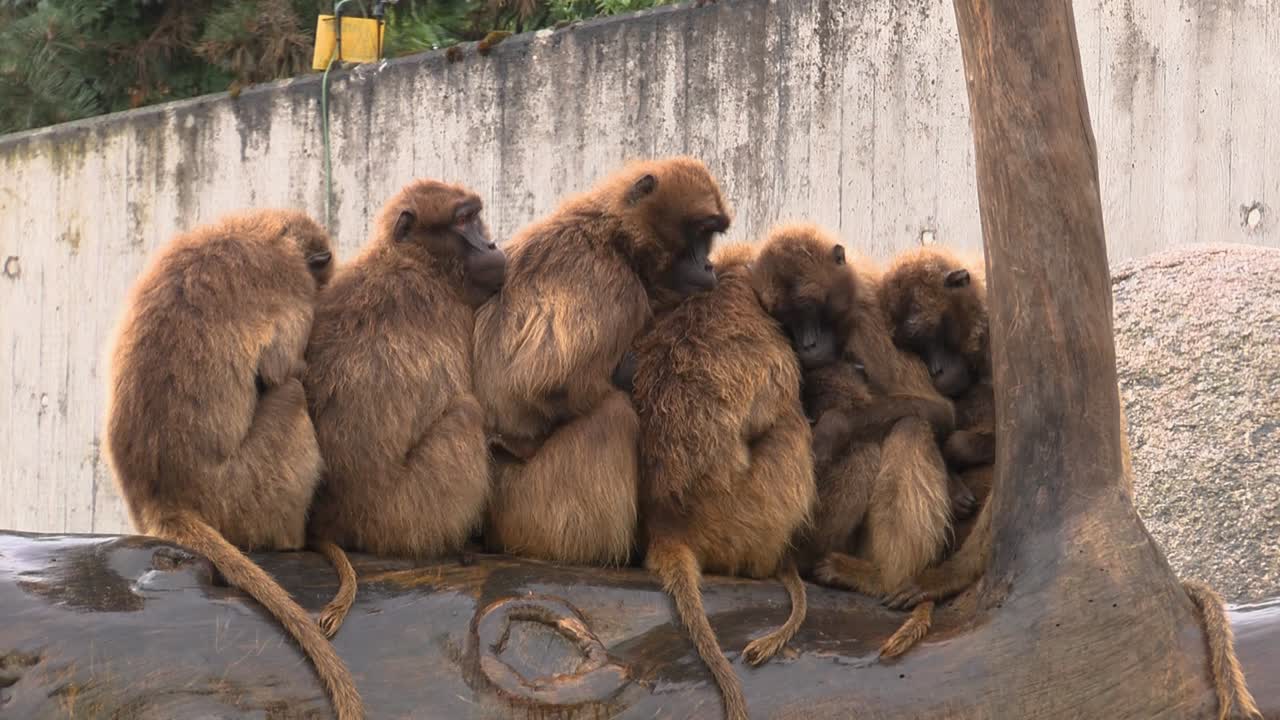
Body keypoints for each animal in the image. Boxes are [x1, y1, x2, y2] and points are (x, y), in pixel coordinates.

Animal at [102, 209, 363, 720]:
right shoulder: (291, 287)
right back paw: (293, 539)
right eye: (319, 277)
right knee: (289, 394)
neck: (262, 230)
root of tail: (159, 497)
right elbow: (283, 368)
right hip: (242, 493)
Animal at [303, 179, 505, 636]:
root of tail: (335, 517)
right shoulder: (448, 307)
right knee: (466, 413)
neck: (413, 259)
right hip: (402, 517)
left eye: (476, 217)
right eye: (464, 221)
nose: (491, 243)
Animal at [473, 156, 730, 567]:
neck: (616, 238)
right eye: (699, 235)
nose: (706, 265)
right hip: (528, 512)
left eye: (708, 239)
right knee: (614, 413)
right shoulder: (614, 284)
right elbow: (540, 383)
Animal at [750, 226, 956, 661]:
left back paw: (881, 579)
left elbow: (941, 411)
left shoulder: (869, 322)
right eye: (788, 318)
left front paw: (834, 427)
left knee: (910, 428)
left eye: (809, 309)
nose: (808, 344)